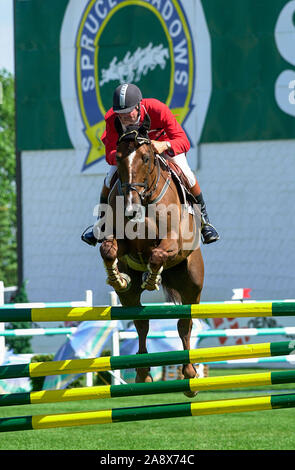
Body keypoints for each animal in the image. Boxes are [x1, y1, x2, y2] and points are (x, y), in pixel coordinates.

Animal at [98, 114, 205, 396]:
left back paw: (190, 375)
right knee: (141, 321)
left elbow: (157, 254)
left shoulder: (173, 243)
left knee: (185, 324)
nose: (131, 208)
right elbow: (108, 249)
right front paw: (117, 277)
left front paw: (152, 278)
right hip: (130, 299)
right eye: (118, 158)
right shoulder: (123, 243)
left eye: (146, 157)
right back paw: (143, 373)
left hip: (192, 285)